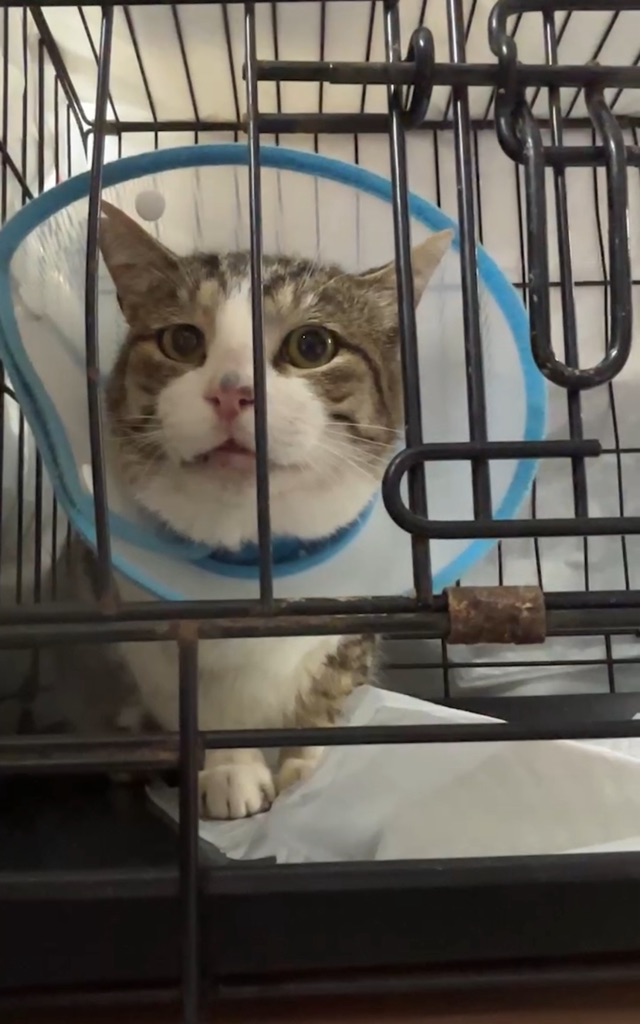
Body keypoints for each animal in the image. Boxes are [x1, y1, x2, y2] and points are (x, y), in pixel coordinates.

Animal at [94, 200, 451, 819]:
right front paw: (231, 771)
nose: (232, 391)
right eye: (182, 340)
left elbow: (326, 689)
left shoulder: (356, 623)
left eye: (312, 346)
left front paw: (307, 769)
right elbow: (194, 692)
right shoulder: (149, 623)